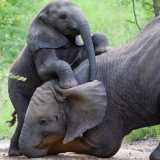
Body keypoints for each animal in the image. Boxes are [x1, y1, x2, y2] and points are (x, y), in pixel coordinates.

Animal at [7, 0, 109, 156]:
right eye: (63, 17)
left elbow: (82, 51)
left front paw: (103, 49)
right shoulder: (40, 46)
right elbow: (46, 69)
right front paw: (70, 85)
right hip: (14, 86)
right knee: (23, 114)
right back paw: (15, 153)